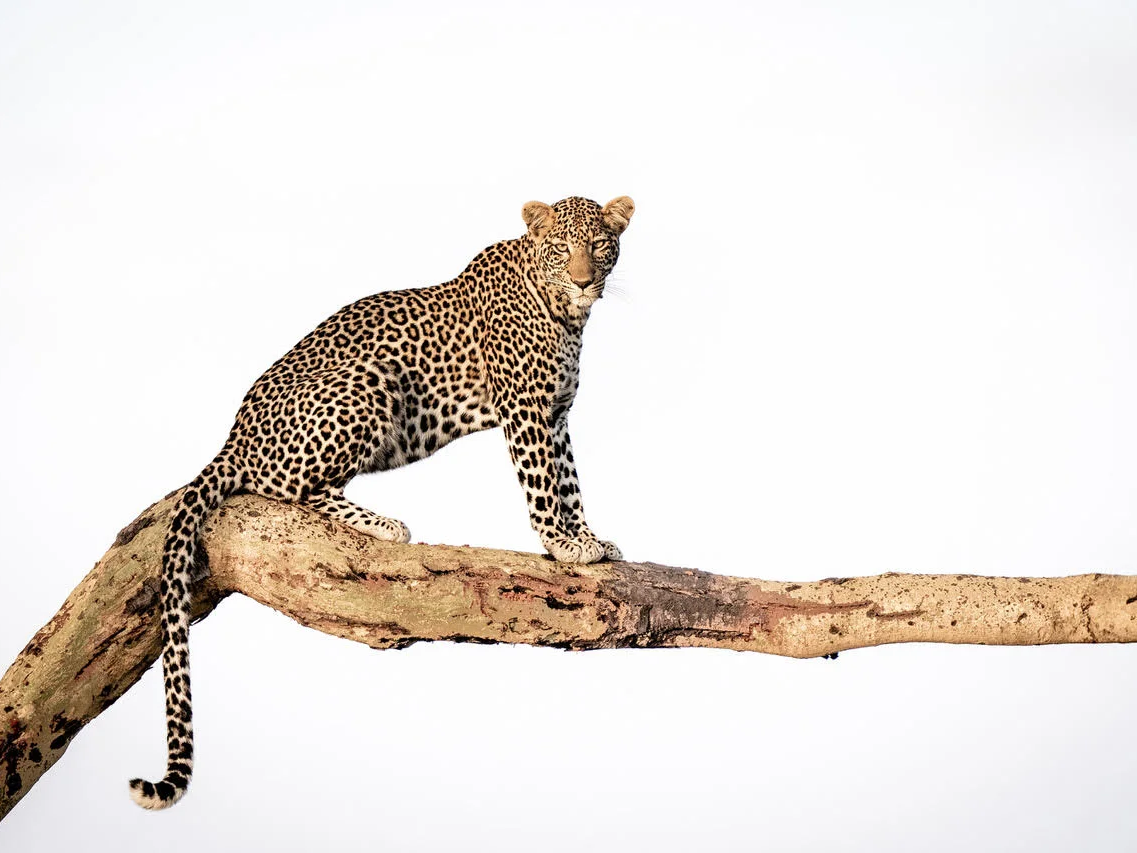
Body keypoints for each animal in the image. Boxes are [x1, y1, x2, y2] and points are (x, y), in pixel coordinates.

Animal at [128, 194, 635, 809]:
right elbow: (542, 485)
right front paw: (562, 545)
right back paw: (383, 524)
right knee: (283, 487)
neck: (564, 315)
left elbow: (570, 483)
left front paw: (588, 537)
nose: (584, 281)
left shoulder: (557, 417)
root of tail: (234, 437)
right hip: (367, 382)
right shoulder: (526, 410)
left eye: (600, 246)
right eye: (561, 249)